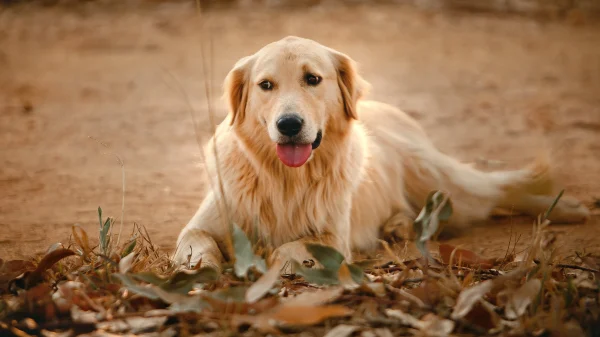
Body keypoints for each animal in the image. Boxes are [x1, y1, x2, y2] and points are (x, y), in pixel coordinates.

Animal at [171, 34, 588, 270]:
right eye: (266, 85)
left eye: (313, 79)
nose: (288, 124)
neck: (284, 177)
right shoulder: (206, 220)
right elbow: (194, 242)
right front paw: (198, 266)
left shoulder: (333, 238)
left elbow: (290, 247)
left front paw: (272, 261)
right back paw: (398, 225)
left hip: (438, 179)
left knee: (495, 190)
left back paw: (567, 208)